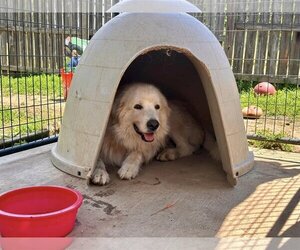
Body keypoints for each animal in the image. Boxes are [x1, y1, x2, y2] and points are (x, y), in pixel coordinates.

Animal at [86, 83, 218, 185]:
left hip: (171, 124)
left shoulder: (149, 145)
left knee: (188, 147)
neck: (123, 136)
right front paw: (99, 173)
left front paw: (129, 167)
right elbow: (97, 159)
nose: (154, 124)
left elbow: (137, 152)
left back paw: (169, 153)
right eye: (137, 106)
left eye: (157, 106)